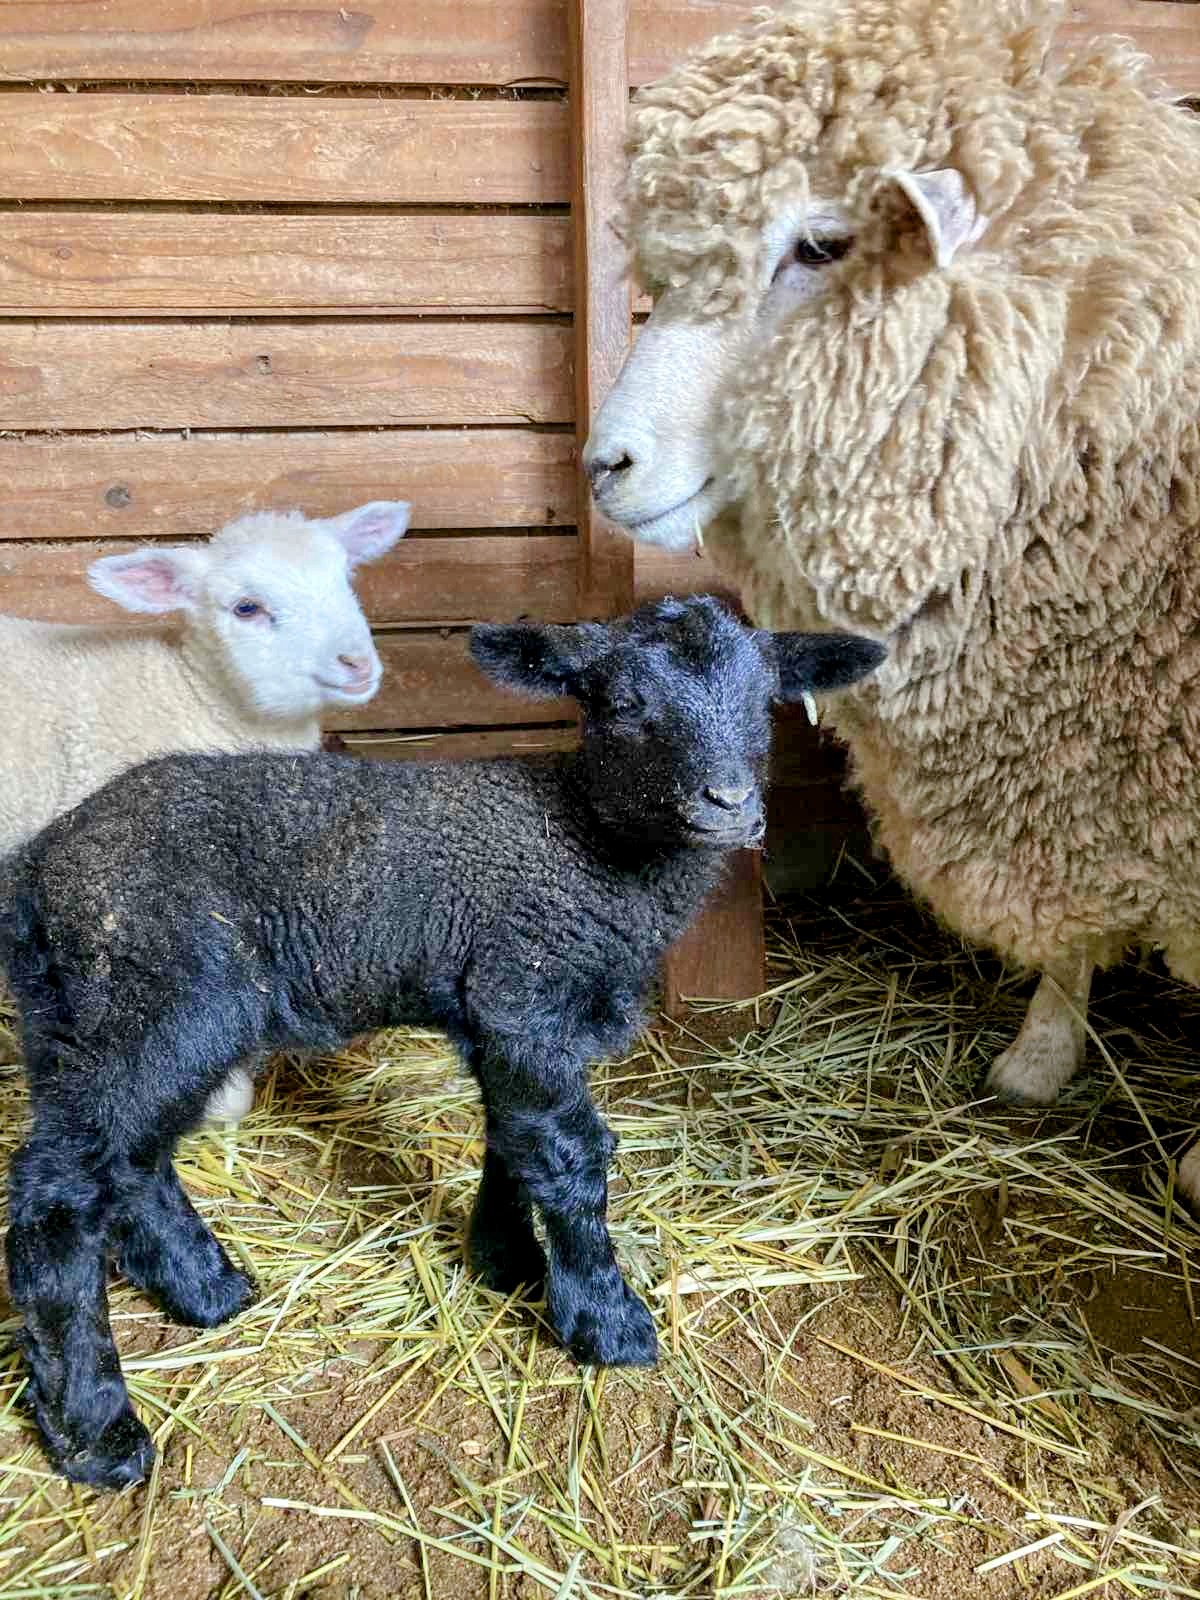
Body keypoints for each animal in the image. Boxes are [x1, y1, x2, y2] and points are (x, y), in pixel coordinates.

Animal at [0, 598, 883, 1484]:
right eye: (627, 705)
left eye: (767, 702)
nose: (728, 802)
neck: (589, 847)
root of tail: (37, 869)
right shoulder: (524, 995)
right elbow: (569, 1156)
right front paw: (604, 1321)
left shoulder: (500, 1016)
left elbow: (513, 1137)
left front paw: (505, 1261)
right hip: (157, 1003)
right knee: (58, 1196)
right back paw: (98, 1431)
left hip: (77, 1021)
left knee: (129, 1163)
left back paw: (205, 1289)